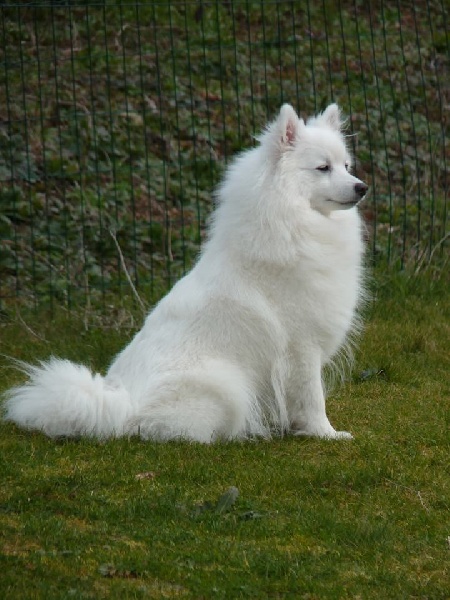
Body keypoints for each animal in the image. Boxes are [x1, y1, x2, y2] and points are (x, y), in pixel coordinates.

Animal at [3, 103, 368, 442]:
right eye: (323, 167)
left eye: (346, 166)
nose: (362, 187)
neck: (293, 223)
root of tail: (122, 405)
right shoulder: (301, 347)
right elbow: (312, 398)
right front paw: (326, 434)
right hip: (223, 386)